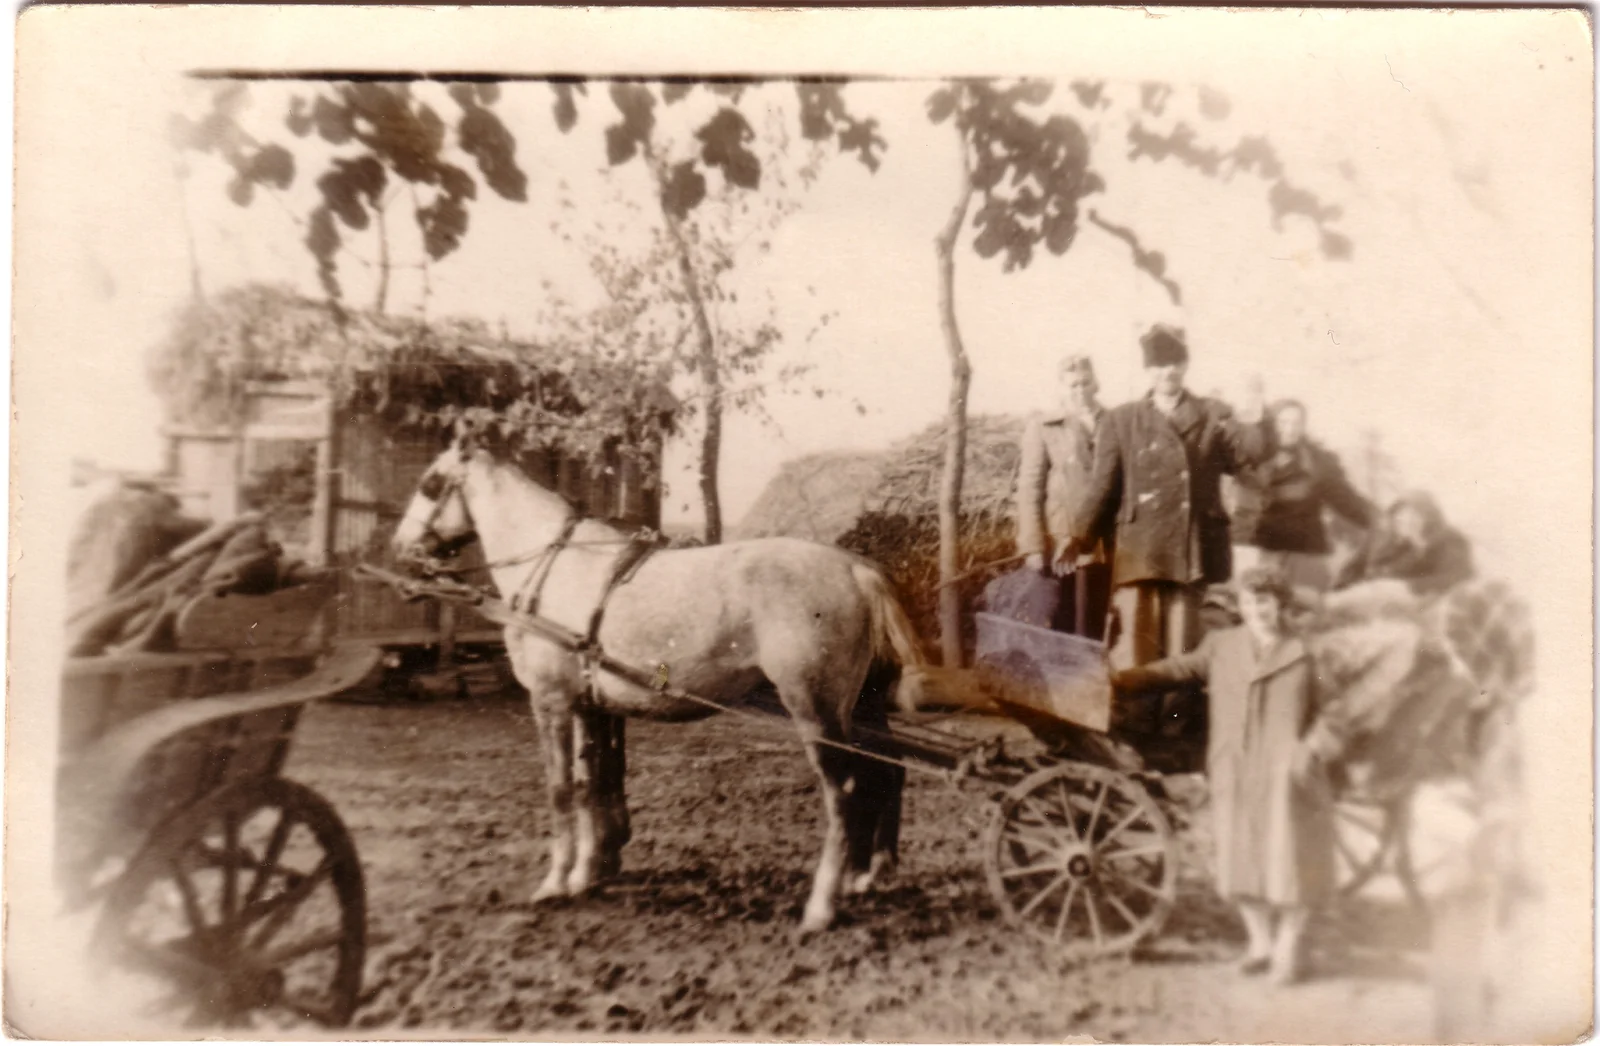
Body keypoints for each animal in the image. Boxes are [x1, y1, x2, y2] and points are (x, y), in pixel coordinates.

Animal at [390, 435, 927, 932]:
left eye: (431, 484)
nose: (401, 553)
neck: (554, 569)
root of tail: (855, 568)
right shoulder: (591, 706)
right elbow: (592, 784)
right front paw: (588, 872)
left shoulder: (552, 702)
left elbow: (561, 789)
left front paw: (555, 882)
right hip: (859, 709)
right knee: (884, 773)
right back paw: (864, 875)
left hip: (813, 708)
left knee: (844, 790)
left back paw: (822, 905)